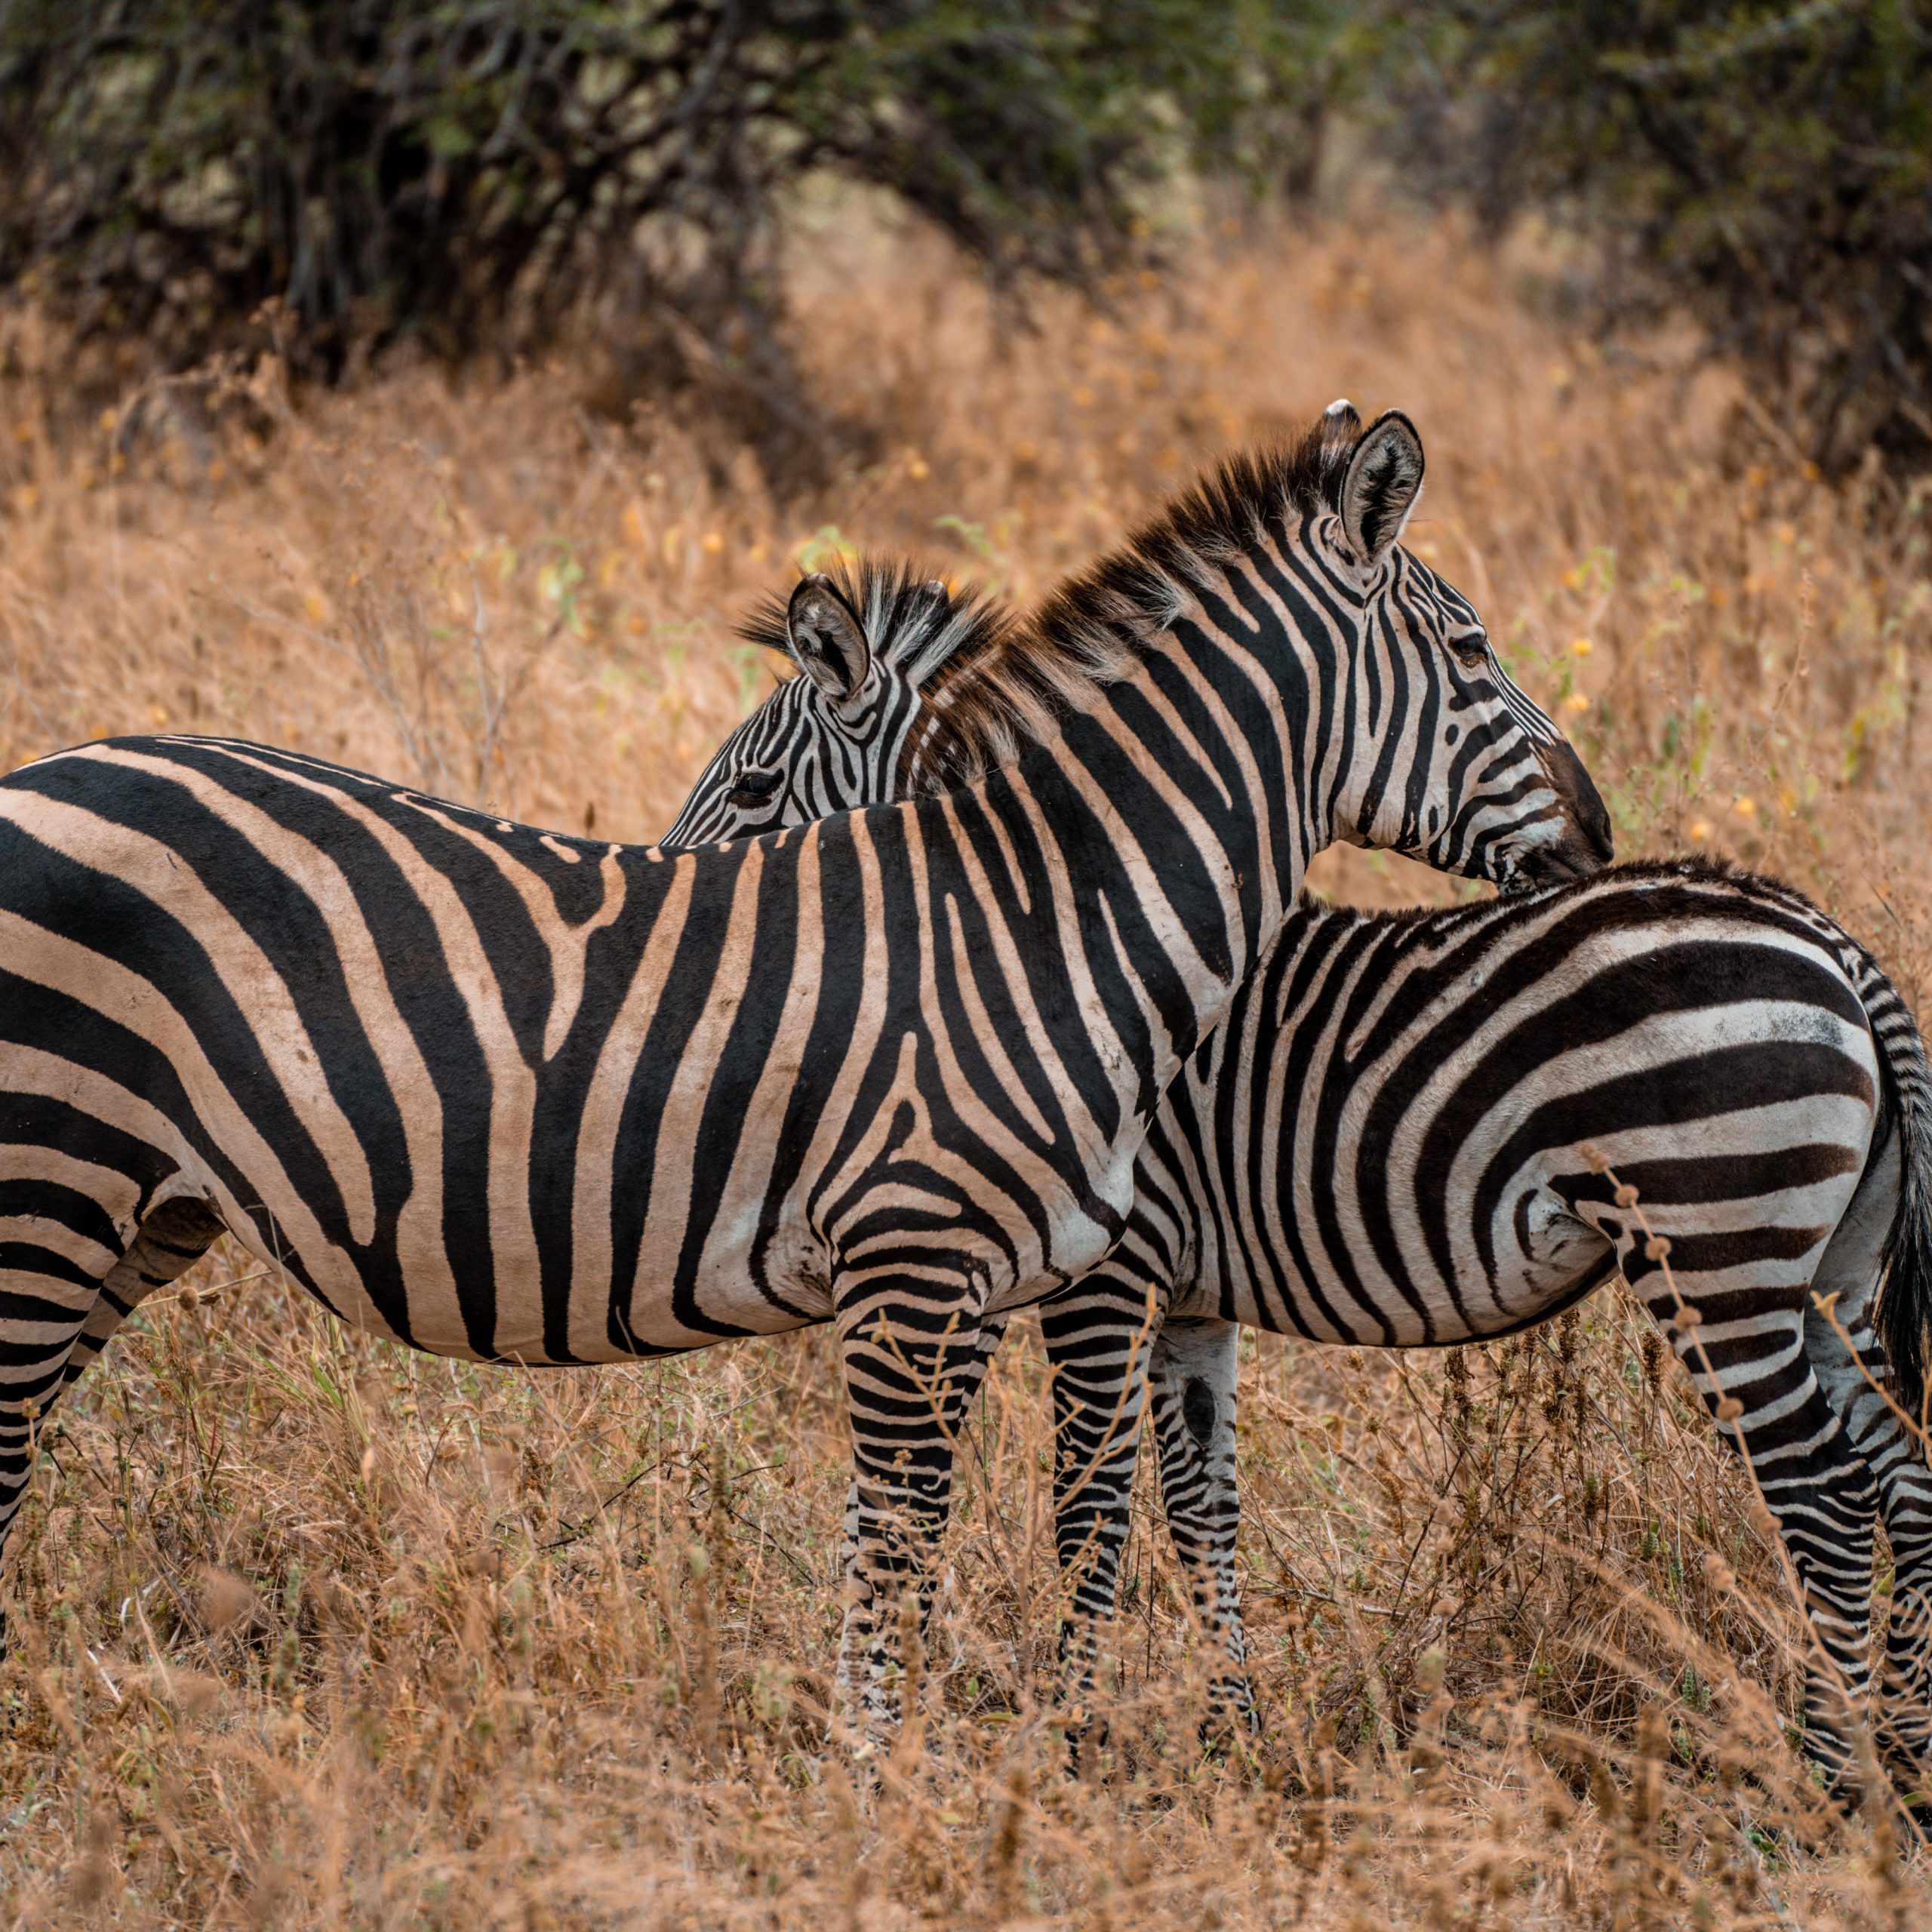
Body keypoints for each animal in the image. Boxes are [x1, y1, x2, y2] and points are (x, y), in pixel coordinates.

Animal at [0, 399, 1607, 1730]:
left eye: (757, 788)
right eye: (1474, 656)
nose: (1598, 832)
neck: (1046, 915)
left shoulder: (995, 1283)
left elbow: (967, 1537)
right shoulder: (940, 1266)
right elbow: (938, 1537)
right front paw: (910, 1787)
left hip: (136, 1214)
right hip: (46, 1185)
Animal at [668, 564, 1932, 1785]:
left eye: (752, 793)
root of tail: (1836, 944)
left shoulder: (1112, 1272)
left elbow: (1091, 1503)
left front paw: (1073, 1742)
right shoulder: (1188, 1294)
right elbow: (1198, 1507)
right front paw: (1234, 1735)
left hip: (1717, 1243)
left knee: (1823, 1490)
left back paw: (1825, 1775)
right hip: (1827, 1271)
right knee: (1903, 1468)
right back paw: (1906, 1750)